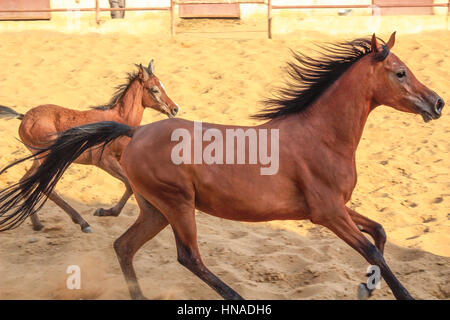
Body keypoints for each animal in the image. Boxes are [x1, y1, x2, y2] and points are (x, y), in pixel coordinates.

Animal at [0, 59, 179, 232]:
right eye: (154, 90)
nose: (175, 109)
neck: (119, 120)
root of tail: (24, 117)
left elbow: (134, 187)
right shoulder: (104, 161)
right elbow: (129, 184)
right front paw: (106, 211)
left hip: (41, 161)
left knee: (25, 182)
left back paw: (37, 224)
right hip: (50, 160)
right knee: (45, 187)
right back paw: (82, 222)